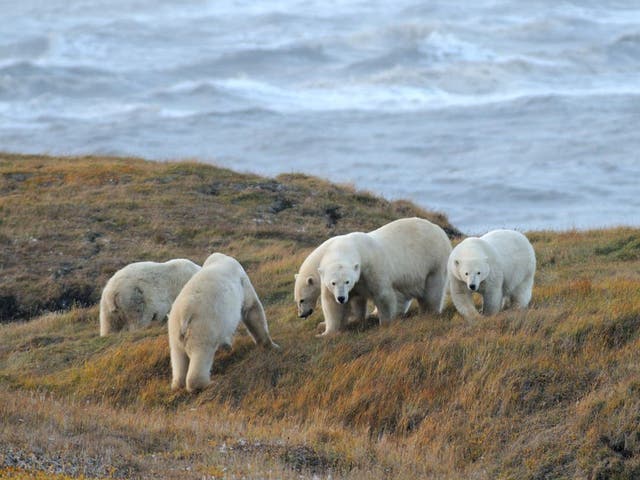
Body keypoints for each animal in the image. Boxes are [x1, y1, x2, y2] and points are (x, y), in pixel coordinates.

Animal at [168, 253, 279, 392]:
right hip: (202, 326)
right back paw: (210, 383)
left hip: (175, 332)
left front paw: (227, 346)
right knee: (201, 353)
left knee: (178, 357)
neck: (219, 259)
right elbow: (251, 309)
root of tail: (184, 314)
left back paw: (178, 384)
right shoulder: (242, 281)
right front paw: (271, 345)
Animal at [316, 217, 452, 335]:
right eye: (333, 283)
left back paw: (428, 313)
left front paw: (385, 324)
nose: (341, 298)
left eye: (347, 281)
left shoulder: (372, 269)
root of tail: (439, 230)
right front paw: (326, 332)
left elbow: (383, 295)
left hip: (433, 261)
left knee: (433, 290)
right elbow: (332, 305)